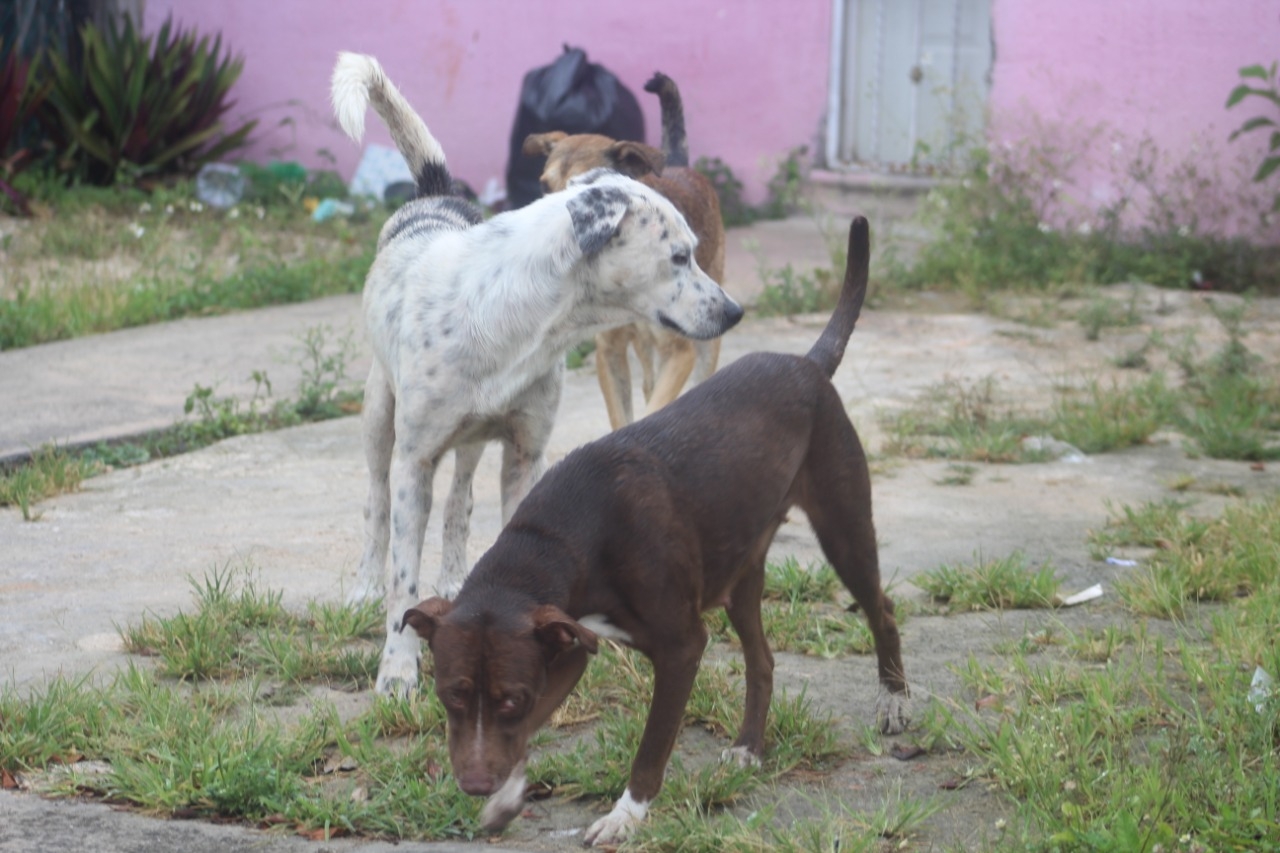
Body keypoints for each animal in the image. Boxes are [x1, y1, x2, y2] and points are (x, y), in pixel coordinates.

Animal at [401, 216, 911, 840]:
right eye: (451, 696)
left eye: (509, 699)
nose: (474, 784)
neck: (556, 540)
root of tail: (809, 364)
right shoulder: (566, 641)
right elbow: (535, 724)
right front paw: (506, 797)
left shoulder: (679, 647)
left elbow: (650, 747)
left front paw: (625, 815)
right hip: (740, 567)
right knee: (762, 660)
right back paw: (749, 747)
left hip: (843, 524)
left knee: (881, 608)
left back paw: (894, 701)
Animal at [522, 72, 732, 427]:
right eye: (543, 187)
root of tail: (679, 165)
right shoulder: (609, 352)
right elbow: (622, 415)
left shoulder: (680, 353)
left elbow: (657, 408)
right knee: (647, 381)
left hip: (705, 341)